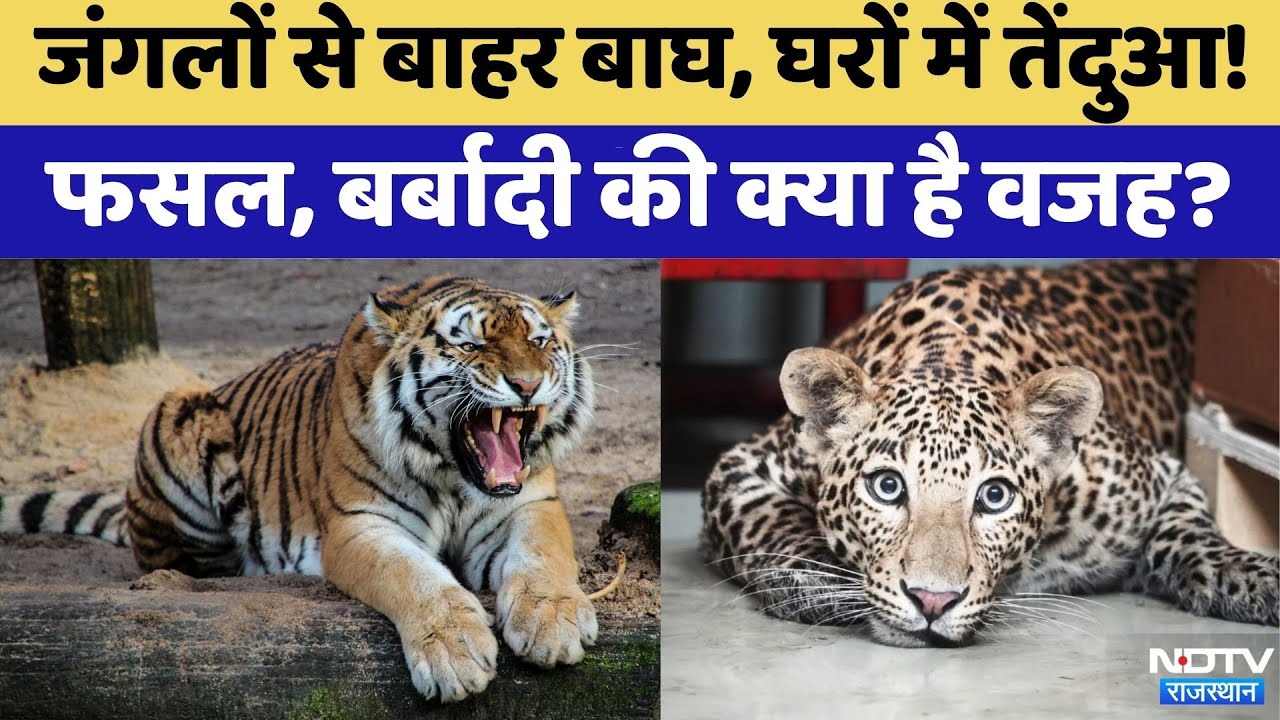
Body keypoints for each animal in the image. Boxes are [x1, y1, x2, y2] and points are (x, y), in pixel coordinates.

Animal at [0, 276, 598, 703]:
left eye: (539, 341)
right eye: (471, 345)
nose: (528, 384)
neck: (453, 475)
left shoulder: (529, 504)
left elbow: (544, 556)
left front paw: (553, 623)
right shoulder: (360, 524)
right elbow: (414, 576)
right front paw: (454, 653)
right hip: (178, 411)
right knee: (178, 563)